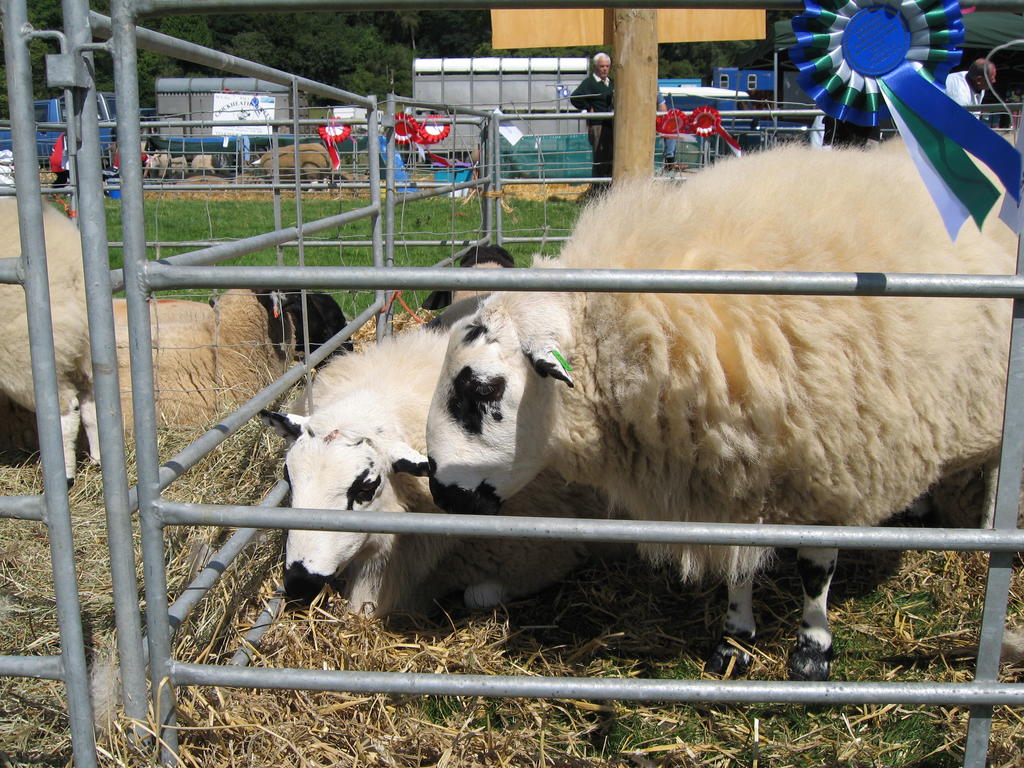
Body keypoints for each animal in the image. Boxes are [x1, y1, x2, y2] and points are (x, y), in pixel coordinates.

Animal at [0, 198, 99, 482]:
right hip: (83, 345)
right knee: (91, 401)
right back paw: (99, 459)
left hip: (21, 353)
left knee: (65, 409)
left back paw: (64, 476)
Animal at [423, 142, 1018, 682]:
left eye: (483, 389)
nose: (443, 496)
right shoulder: (729, 467)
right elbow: (737, 562)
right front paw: (734, 640)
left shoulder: (833, 465)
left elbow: (815, 567)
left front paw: (812, 650)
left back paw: (990, 531)